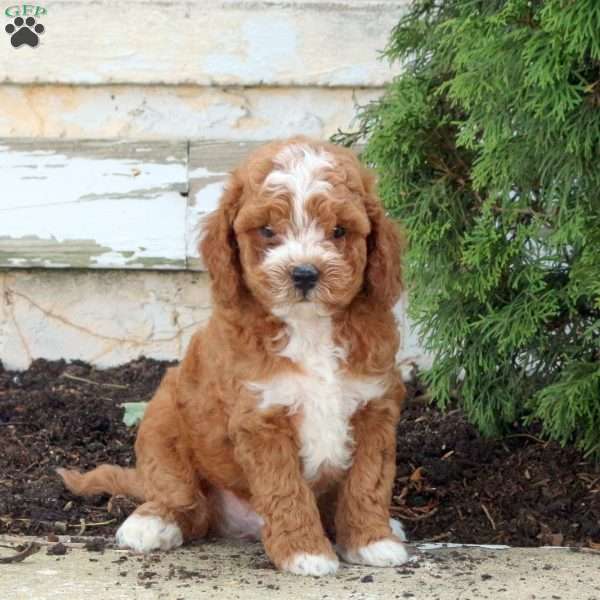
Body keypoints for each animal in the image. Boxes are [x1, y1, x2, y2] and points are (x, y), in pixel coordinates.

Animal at [58, 136, 410, 576]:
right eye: (268, 230)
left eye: (340, 231)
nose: (305, 273)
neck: (309, 326)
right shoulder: (262, 419)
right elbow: (285, 490)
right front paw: (305, 552)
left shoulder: (374, 408)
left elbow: (368, 482)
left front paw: (372, 541)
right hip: (162, 424)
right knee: (184, 501)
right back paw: (152, 522)